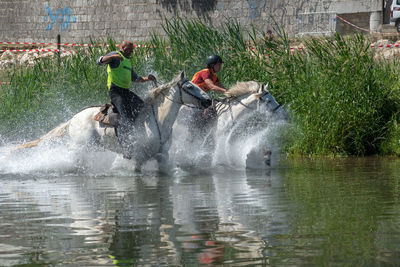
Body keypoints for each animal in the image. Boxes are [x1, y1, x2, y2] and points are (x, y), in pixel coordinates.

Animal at [14, 71, 212, 170]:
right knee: (71, 150)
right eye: (189, 87)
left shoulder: (163, 157)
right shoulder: (138, 159)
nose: (209, 100)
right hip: (82, 144)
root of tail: (74, 118)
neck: (157, 122)